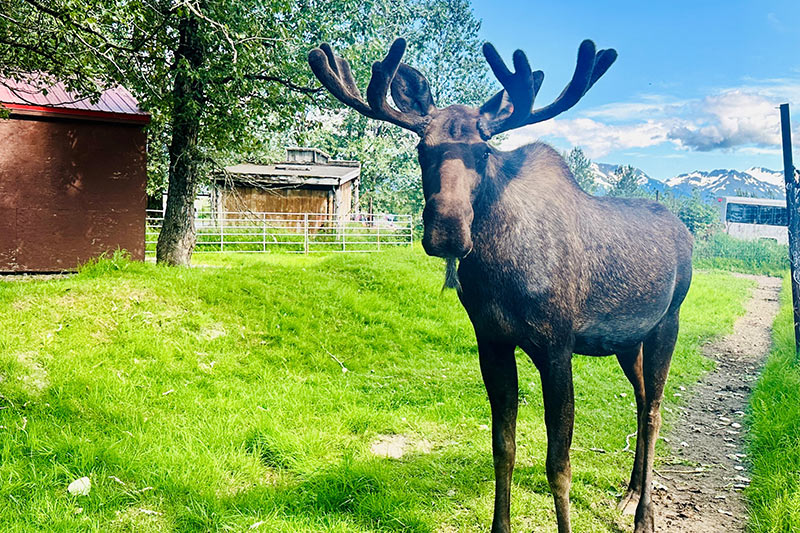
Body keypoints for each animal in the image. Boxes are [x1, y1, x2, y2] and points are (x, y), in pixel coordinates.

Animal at [309, 38, 692, 533]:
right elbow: (502, 447)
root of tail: (686, 233)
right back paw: (628, 494)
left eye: (484, 151)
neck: (498, 272)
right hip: (628, 340)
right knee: (642, 398)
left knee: (654, 411)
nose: (448, 229)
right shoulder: (491, 340)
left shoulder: (557, 345)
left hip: (668, 321)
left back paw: (644, 514)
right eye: (422, 149)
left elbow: (559, 463)